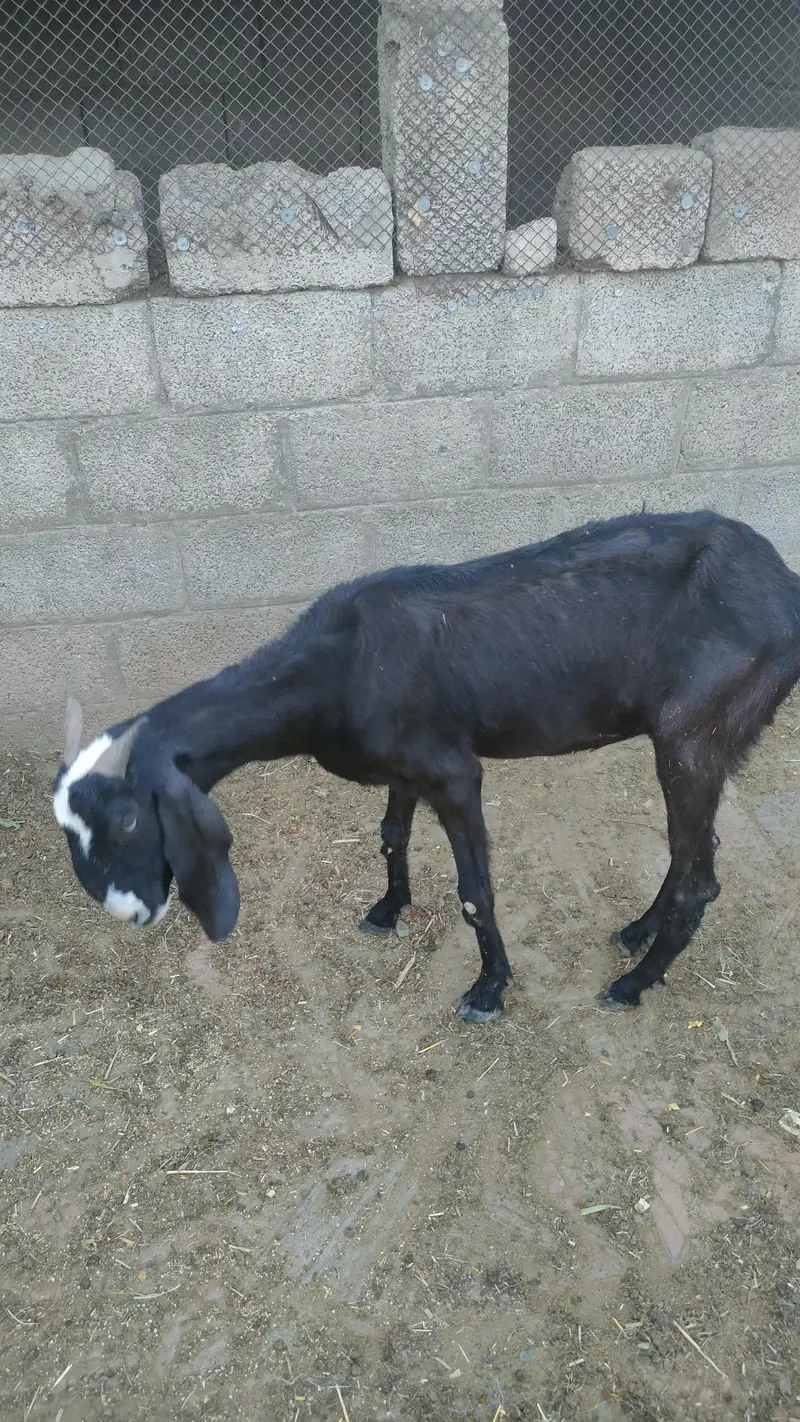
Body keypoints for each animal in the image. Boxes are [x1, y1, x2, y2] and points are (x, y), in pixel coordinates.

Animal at [53, 511, 800, 1022]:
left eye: (128, 821)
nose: (126, 909)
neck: (337, 668)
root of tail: (784, 590)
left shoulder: (453, 772)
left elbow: (474, 890)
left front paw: (488, 991)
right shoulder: (403, 766)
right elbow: (391, 836)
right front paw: (388, 909)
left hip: (695, 732)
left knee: (700, 878)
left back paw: (634, 983)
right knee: (690, 852)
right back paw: (637, 934)